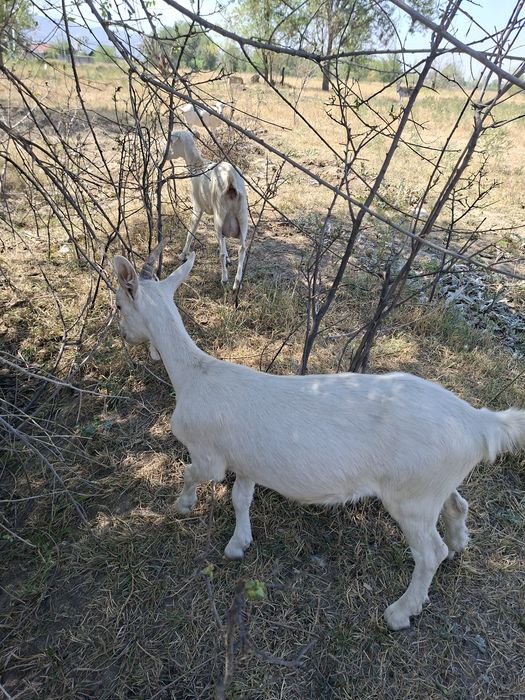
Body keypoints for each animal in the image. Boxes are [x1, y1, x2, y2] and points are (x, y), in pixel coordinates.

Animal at [113, 244, 525, 630]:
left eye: (118, 304)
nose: (122, 335)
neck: (194, 374)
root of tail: (475, 422)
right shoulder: (246, 459)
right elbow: (240, 498)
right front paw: (238, 544)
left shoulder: (207, 454)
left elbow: (191, 474)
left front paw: (183, 505)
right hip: (430, 484)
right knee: (457, 504)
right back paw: (459, 545)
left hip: (411, 497)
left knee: (429, 554)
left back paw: (400, 612)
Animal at [166, 130, 248, 290]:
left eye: (171, 141)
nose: (163, 154)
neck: (198, 166)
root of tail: (231, 182)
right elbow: (224, 242)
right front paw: (229, 259)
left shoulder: (197, 207)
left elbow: (191, 231)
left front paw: (182, 255)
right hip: (242, 216)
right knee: (242, 249)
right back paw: (237, 283)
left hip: (219, 216)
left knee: (221, 252)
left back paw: (224, 279)